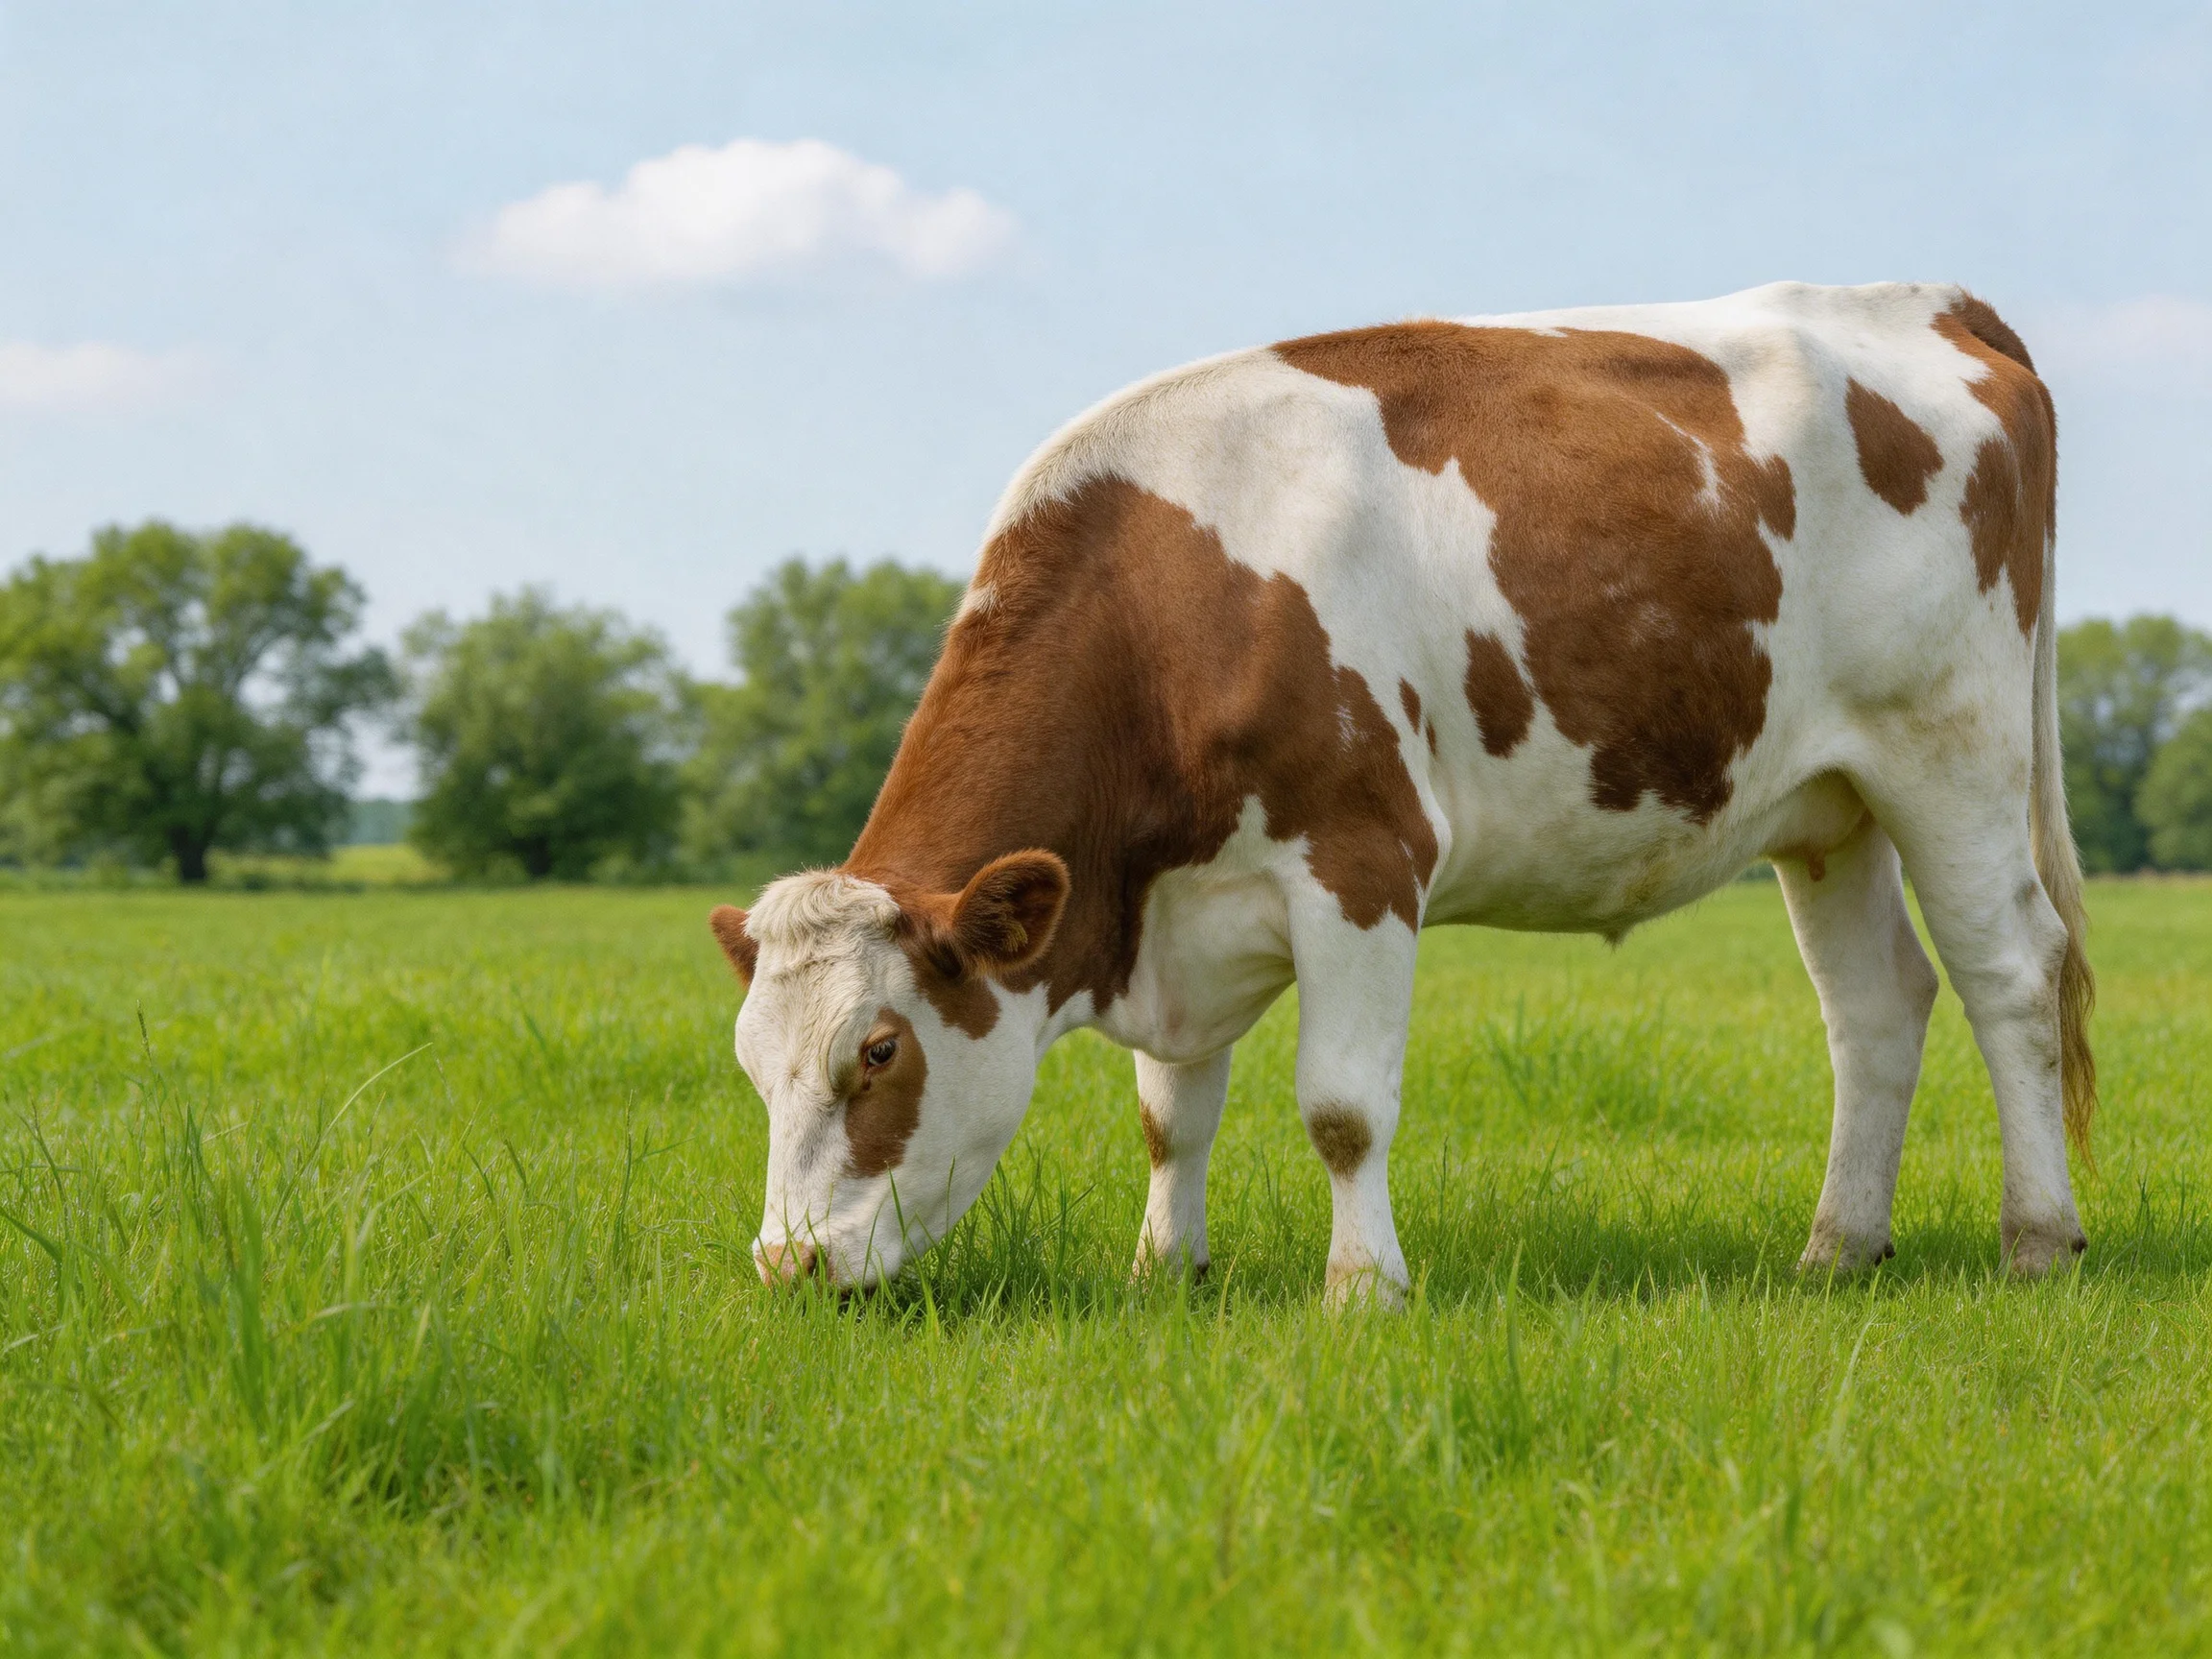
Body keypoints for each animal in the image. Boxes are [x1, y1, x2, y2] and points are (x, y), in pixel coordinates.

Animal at [708, 280, 2095, 1301]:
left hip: (1952, 753)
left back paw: (2038, 1238)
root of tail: (1924, 301)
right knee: (1876, 1006)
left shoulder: (1362, 859)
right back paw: (1838, 1248)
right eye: (750, 1065)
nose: (785, 1267)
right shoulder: (1178, 910)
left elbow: (1341, 1109)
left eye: (878, 1051)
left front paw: (1364, 1288)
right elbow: (1173, 1113)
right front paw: (1166, 1270)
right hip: (1827, 799)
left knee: (2011, 974)